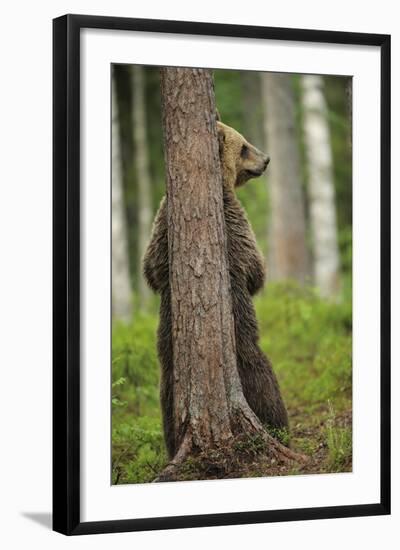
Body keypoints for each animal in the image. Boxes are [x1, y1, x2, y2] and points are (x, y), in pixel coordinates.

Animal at [144, 117, 288, 462]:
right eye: (245, 146)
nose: (266, 160)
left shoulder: (160, 224)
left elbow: (151, 269)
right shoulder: (233, 219)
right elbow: (254, 268)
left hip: (168, 373)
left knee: (167, 405)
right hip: (245, 351)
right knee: (265, 382)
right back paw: (280, 428)